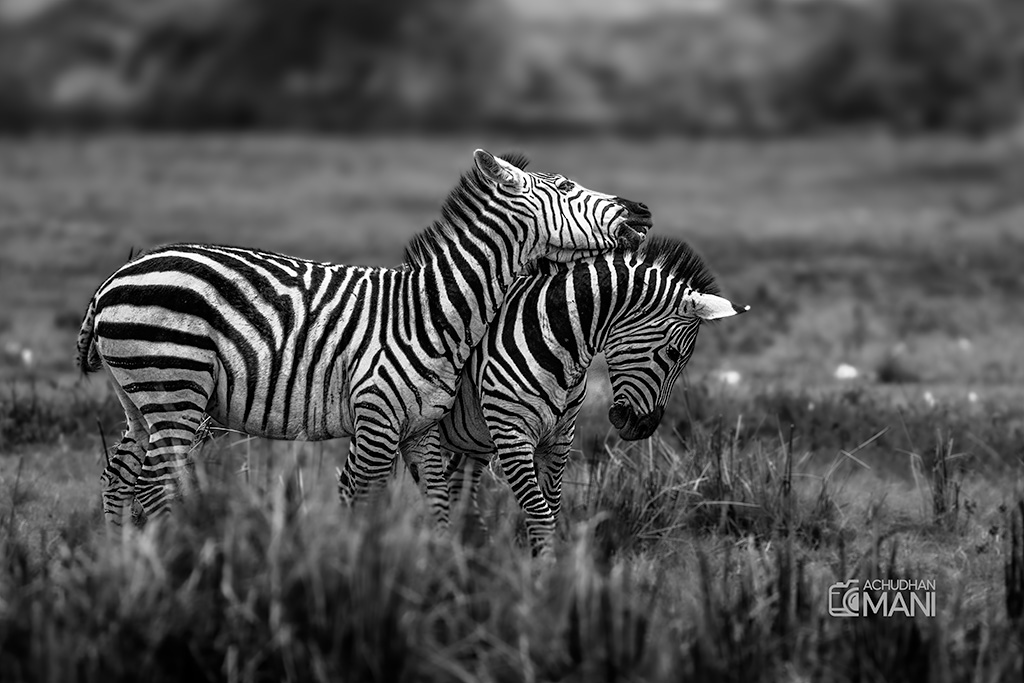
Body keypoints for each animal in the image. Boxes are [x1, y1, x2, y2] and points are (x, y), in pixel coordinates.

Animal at [76, 149, 652, 528]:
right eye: (566, 188)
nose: (643, 210)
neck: (433, 311)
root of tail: (112, 280)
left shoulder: (420, 429)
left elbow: (439, 511)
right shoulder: (375, 422)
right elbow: (360, 507)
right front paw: (354, 577)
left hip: (140, 401)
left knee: (118, 479)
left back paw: (126, 564)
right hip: (175, 390)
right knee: (151, 485)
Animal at [402, 236, 747, 555]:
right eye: (673, 354)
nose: (643, 428)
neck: (553, 337)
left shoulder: (560, 437)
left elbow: (550, 511)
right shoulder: (512, 434)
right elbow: (540, 514)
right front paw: (546, 574)